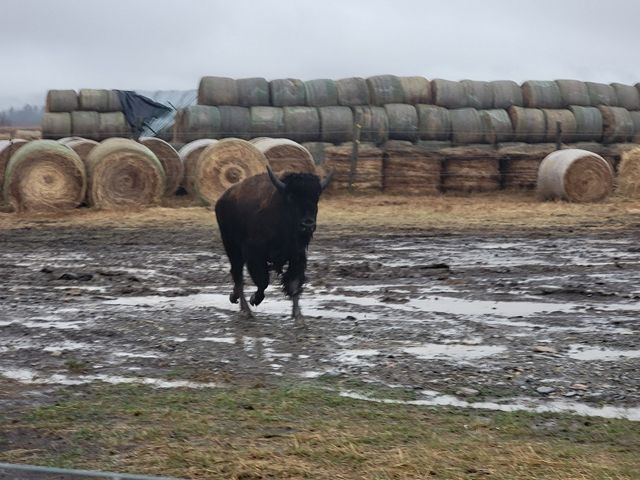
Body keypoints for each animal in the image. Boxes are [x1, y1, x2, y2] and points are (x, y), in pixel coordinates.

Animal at [215, 166, 332, 325]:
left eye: (316, 197)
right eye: (291, 197)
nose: (308, 224)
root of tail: (222, 199)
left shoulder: (297, 256)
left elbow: (294, 283)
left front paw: (298, 315)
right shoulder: (254, 254)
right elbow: (263, 281)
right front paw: (254, 300)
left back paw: (235, 298)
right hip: (232, 248)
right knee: (238, 275)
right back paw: (246, 311)